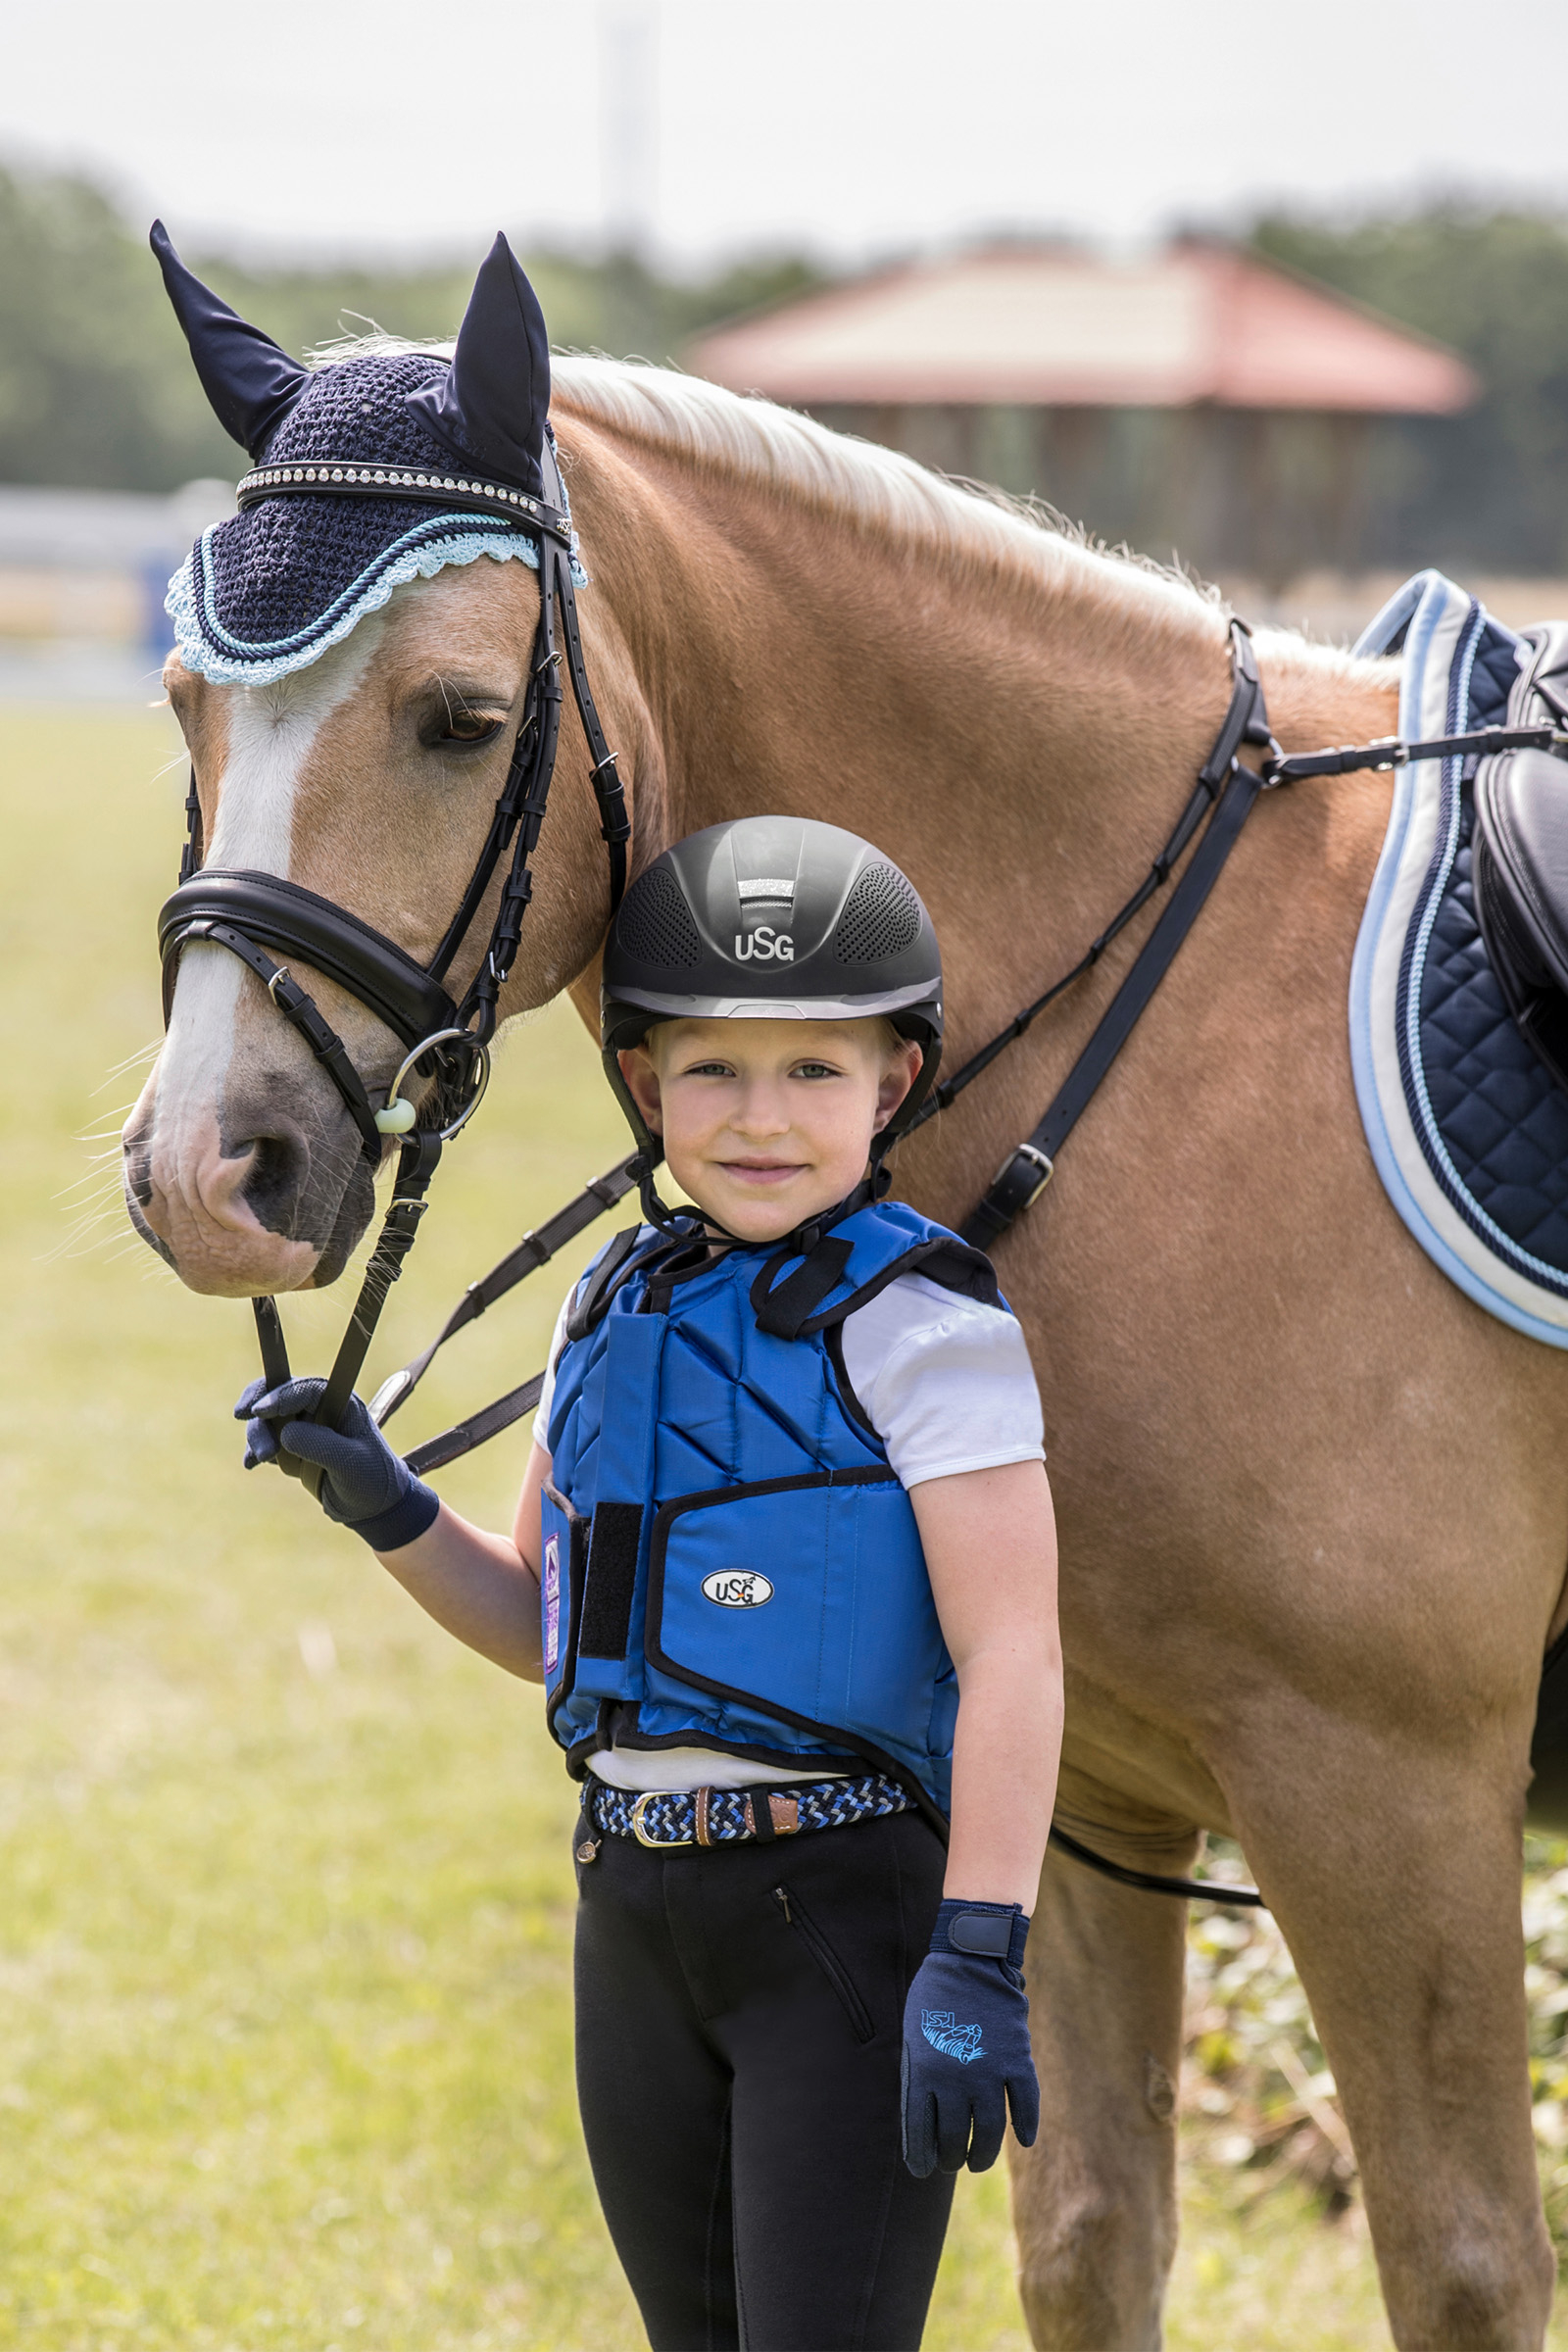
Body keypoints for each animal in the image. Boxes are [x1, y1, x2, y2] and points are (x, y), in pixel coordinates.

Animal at [122, 348, 1568, 2350]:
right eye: (186, 704)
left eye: (460, 720)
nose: (207, 1173)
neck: (1167, 1044)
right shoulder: (1089, 1791)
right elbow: (1089, 2238)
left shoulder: (1392, 1802)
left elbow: (1460, 2268)